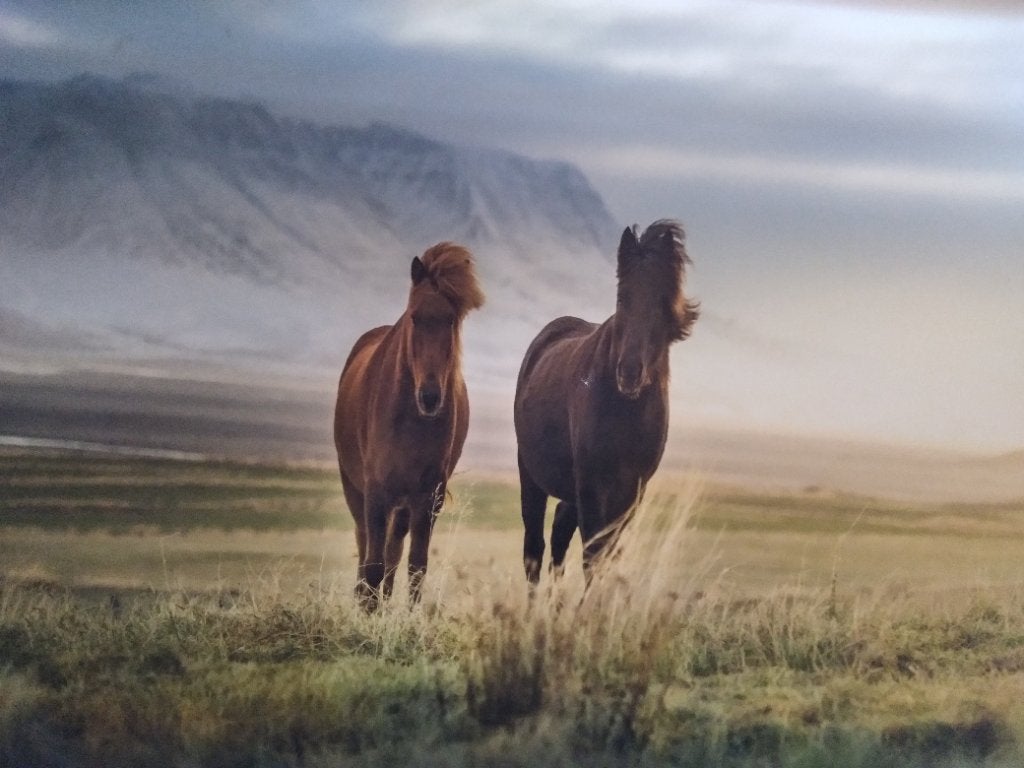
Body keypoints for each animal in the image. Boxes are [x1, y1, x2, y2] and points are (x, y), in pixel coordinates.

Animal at [334, 243, 484, 610]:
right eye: (415, 316)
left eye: (451, 319)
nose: (430, 396)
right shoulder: (375, 491)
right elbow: (373, 564)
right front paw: (368, 613)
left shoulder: (427, 497)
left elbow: (415, 566)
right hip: (355, 489)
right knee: (366, 547)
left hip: (403, 504)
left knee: (393, 553)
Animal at [514, 220, 699, 587]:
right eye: (623, 296)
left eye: (662, 300)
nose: (629, 372)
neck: (626, 411)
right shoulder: (592, 488)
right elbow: (593, 555)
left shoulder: (632, 493)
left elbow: (607, 556)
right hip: (531, 475)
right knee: (535, 549)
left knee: (558, 539)